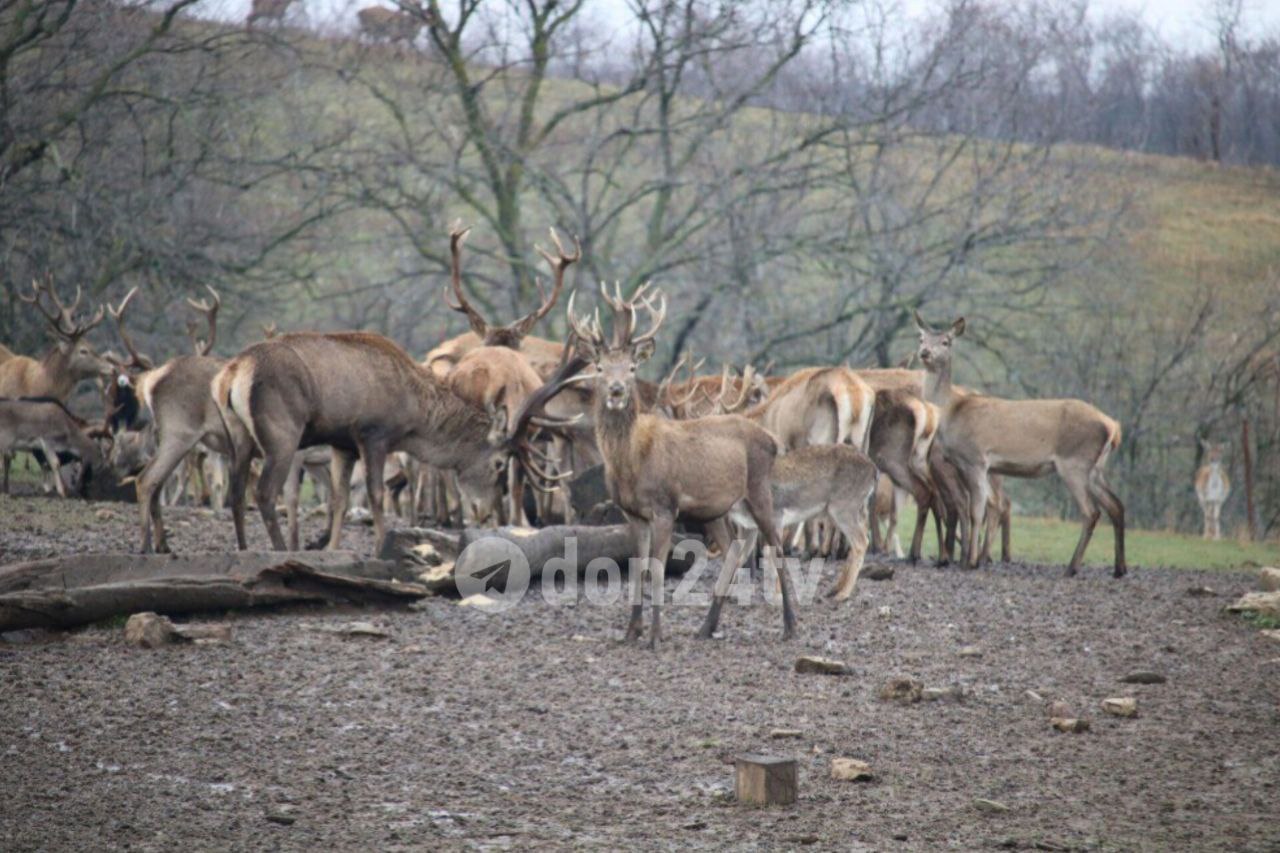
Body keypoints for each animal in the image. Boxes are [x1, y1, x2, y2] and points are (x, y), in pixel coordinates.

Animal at [916, 308, 1126, 573]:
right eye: (921, 338)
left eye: (946, 341)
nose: (925, 352)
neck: (950, 410)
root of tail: (1113, 426)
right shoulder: (974, 466)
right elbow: (979, 507)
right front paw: (968, 559)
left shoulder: (975, 459)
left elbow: (976, 511)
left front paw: (971, 562)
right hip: (1095, 467)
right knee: (1116, 505)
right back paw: (1119, 569)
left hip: (1075, 462)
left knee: (1091, 512)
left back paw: (1072, 568)